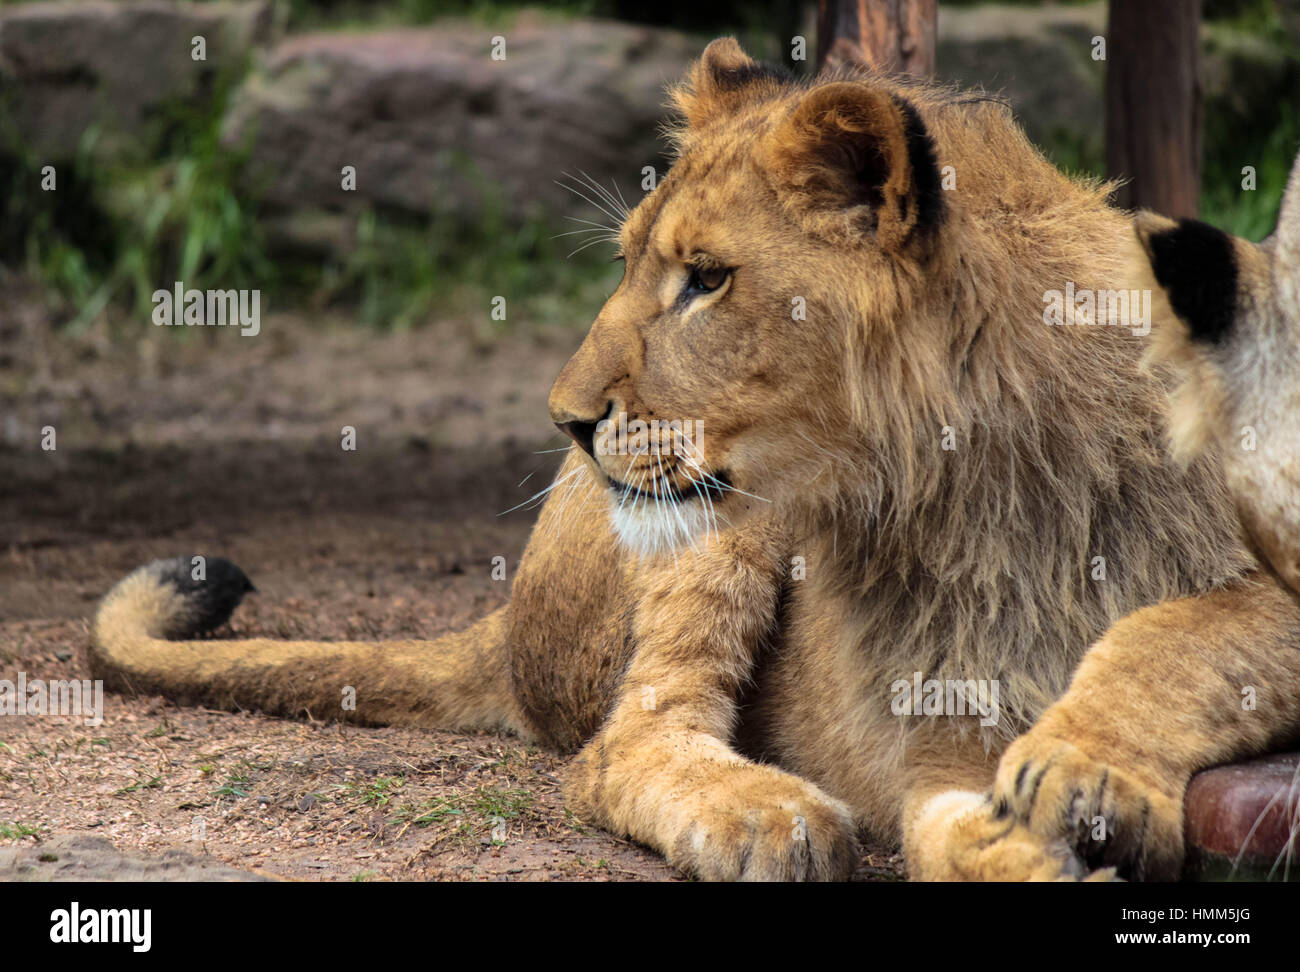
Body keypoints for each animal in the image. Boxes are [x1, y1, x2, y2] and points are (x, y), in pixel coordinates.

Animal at [91, 39, 1300, 881]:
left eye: (707, 280)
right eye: (631, 264)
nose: (566, 420)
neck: (988, 488)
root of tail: (510, 620)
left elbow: (1186, 626)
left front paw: (1081, 770)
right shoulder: (931, 726)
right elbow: (945, 822)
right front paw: (1041, 832)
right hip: (710, 532)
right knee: (621, 745)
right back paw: (766, 812)